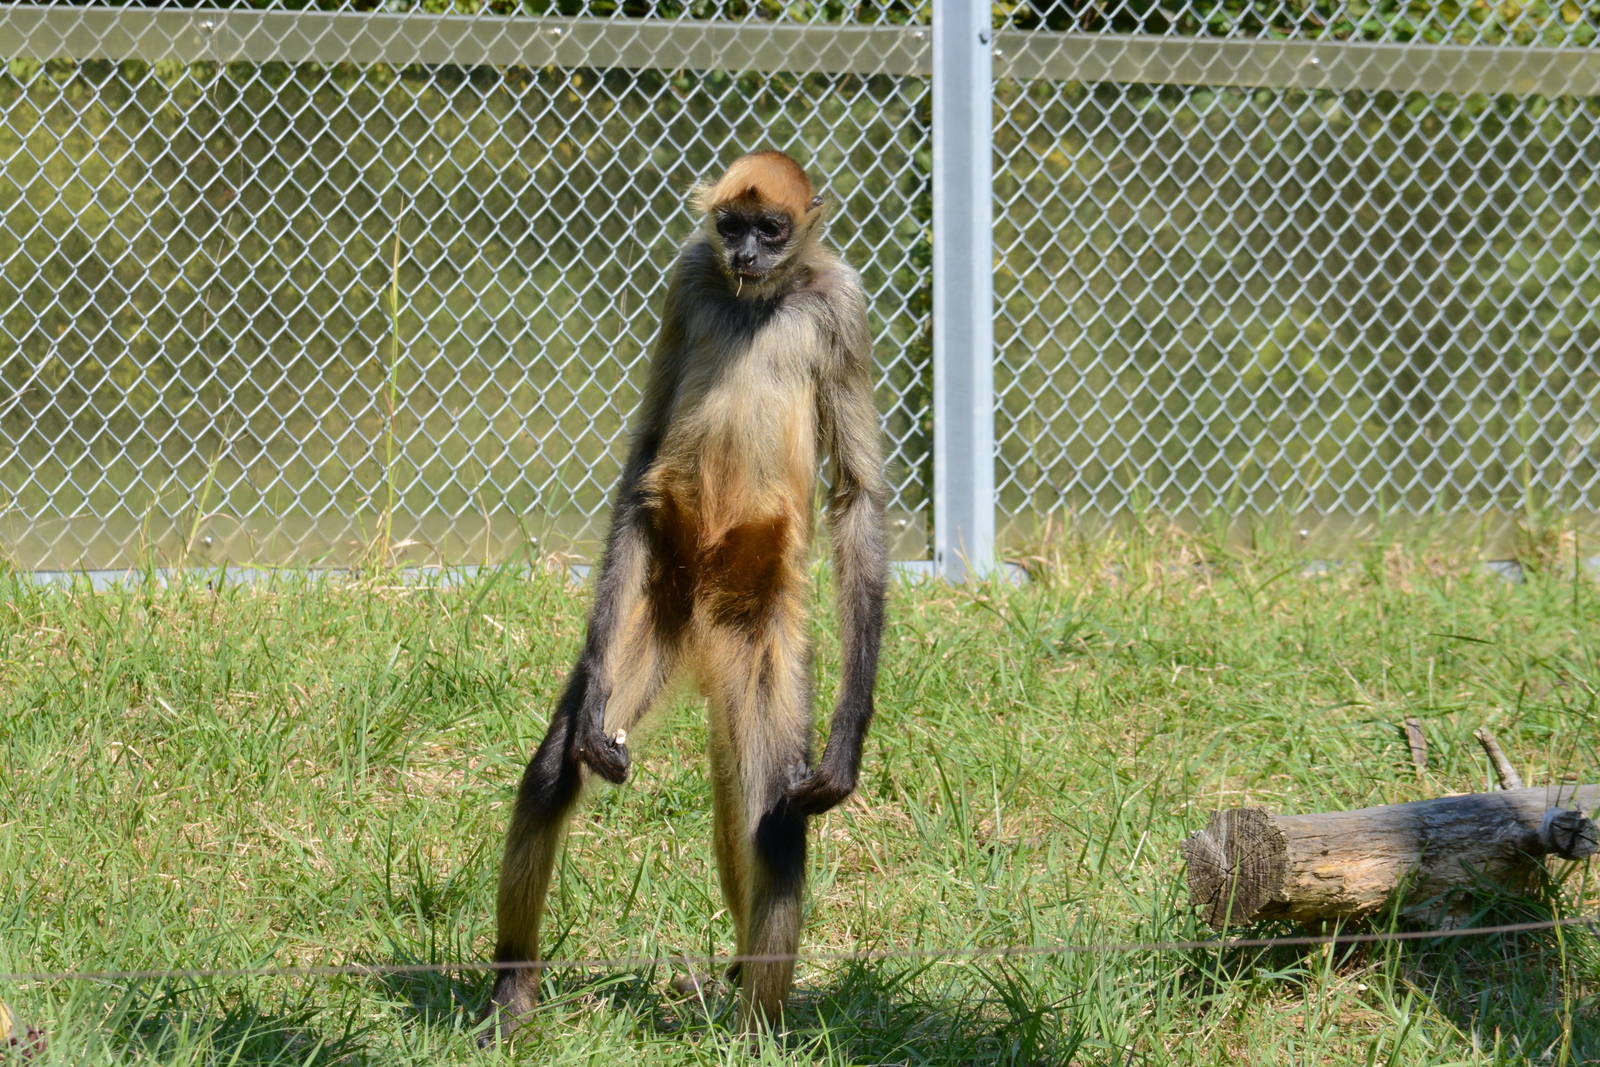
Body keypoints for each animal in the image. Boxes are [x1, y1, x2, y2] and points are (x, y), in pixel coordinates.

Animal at [484, 151, 887, 1041]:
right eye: (729, 227)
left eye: (770, 228)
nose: (745, 253)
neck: (759, 302)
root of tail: (705, 628)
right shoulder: (690, 275)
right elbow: (642, 460)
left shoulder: (843, 302)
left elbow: (857, 500)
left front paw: (847, 740)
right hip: (653, 600)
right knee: (554, 770)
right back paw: (512, 992)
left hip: (764, 628)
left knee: (777, 818)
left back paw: (756, 1031)